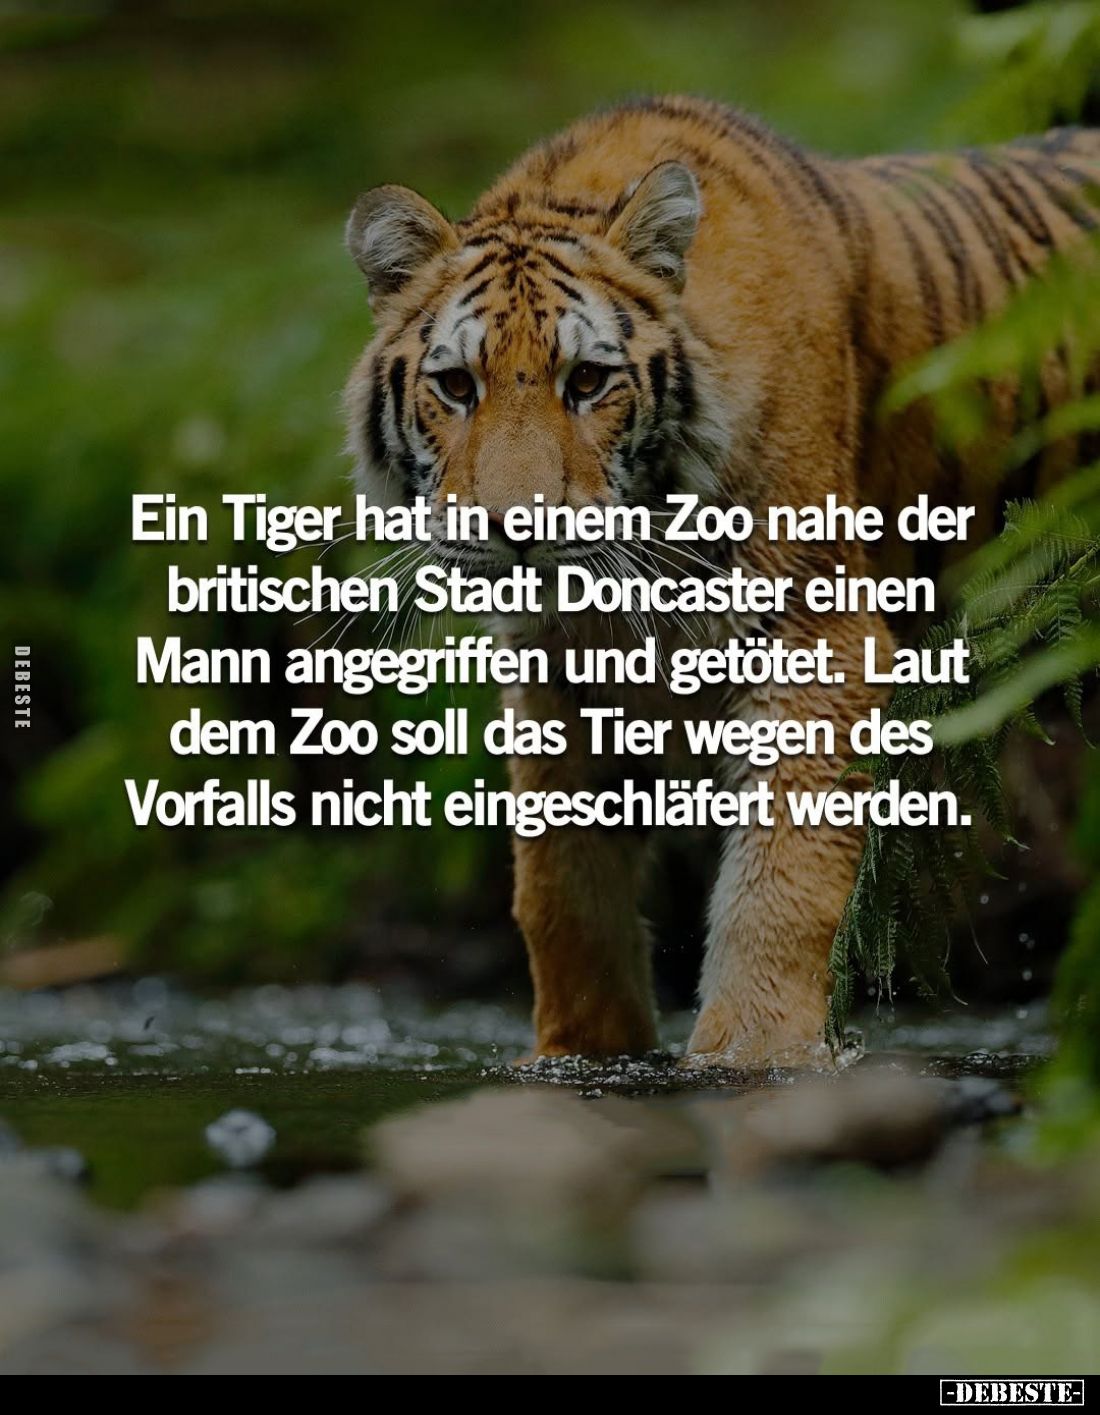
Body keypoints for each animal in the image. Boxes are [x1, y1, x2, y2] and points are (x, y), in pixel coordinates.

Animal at [343, 96, 1100, 1066]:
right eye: (456, 386)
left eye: (588, 380)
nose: (518, 529)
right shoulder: (550, 673)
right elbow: (560, 887)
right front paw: (581, 1053)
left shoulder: (818, 636)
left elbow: (781, 877)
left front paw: (751, 1055)